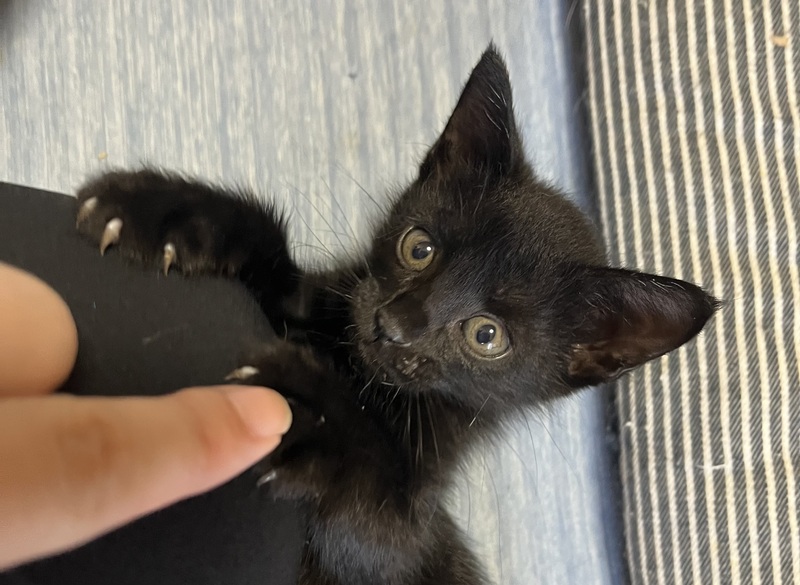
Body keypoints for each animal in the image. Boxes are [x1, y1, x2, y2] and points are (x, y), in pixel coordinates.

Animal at [74, 45, 718, 585]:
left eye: (488, 335)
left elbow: (380, 506)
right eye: (419, 247)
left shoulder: (407, 534)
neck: (359, 371)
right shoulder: (335, 299)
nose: (395, 326)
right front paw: (169, 214)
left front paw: (311, 413)